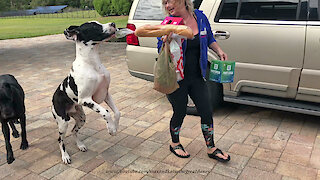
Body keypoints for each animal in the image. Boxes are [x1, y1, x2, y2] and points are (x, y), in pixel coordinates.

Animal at [52, 21, 120, 164]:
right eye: (94, 26)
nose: (113, 23)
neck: (92, 64)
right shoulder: (86, 99)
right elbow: (106, 112)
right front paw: (110, 128)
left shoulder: (106, 94)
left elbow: (117, 112)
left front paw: (114, 128)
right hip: (62, 123)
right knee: (60, 139)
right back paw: (65, 156)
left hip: (81, 118)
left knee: (74, 131)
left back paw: (80, 145)